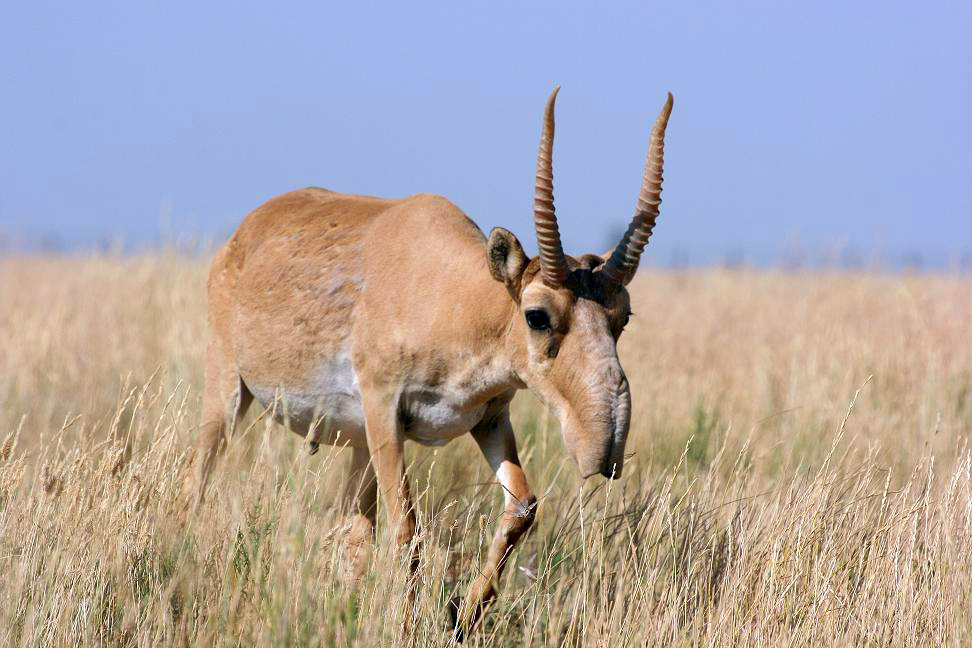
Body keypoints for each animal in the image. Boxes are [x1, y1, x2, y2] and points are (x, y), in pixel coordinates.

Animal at [194, 86, 672, 636]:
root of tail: (246, 231)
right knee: (198, 478)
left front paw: (462, 613)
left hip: (357, 444)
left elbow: (522, 507)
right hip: (229, 392)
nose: (605, 444)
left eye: (623, 315)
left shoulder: (489, 418)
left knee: (351, 532)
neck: (455, 295)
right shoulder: (385, 413)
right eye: (537, 315)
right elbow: (407, 527)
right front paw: (409, 625)